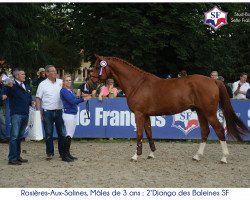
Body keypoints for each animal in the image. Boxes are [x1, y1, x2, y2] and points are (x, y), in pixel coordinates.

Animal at [89, 54, 249, 162]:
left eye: (97, 67)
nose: (90, 81)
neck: (137, 84)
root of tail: (213, 81)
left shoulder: (139, 114)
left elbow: (140, 134)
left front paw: (135, 155)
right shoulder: (146, 115)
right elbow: (149, 133)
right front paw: (151, 153)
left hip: (209, 113)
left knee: (219, 130)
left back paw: (224, 157)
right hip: (201, 112)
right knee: (205, 131)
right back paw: (197, 156)